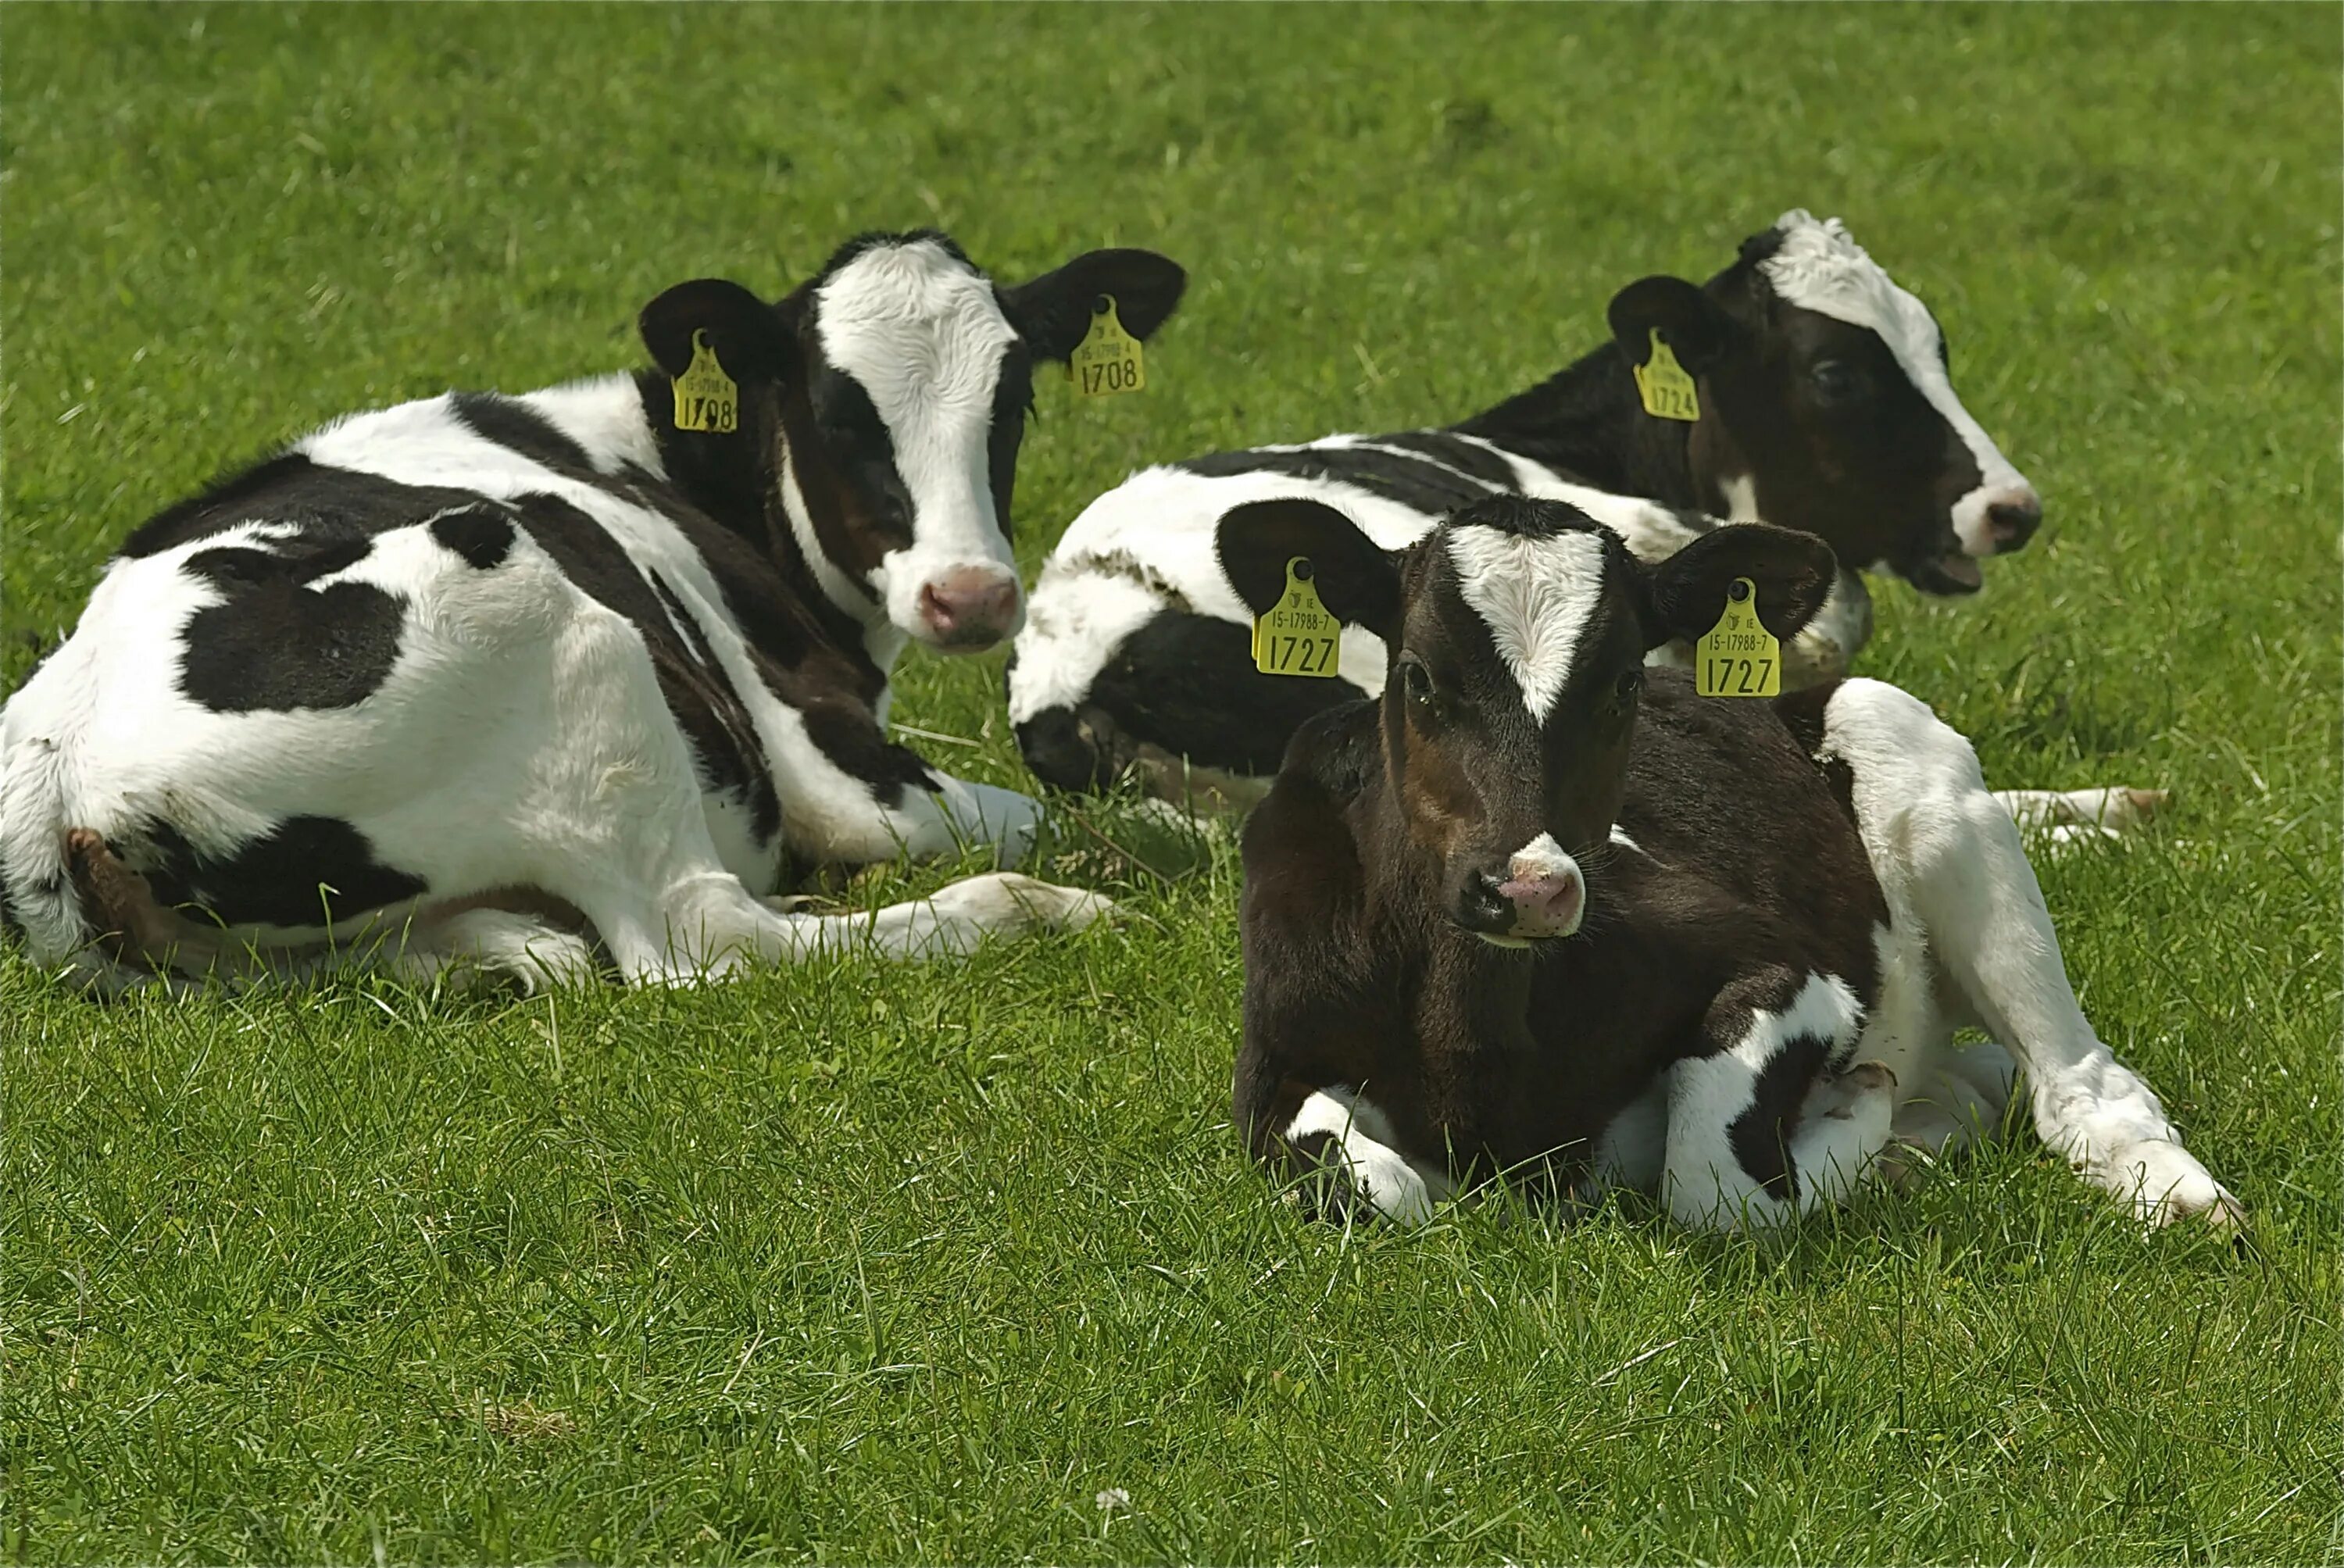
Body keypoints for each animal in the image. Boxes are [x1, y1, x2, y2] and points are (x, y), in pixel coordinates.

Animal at [4, 230, 1191, 989]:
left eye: (1015, 399)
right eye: (832, 408)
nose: (972, 594)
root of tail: (59, 763)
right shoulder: (838, 769)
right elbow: (1091, 811)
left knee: (549, 955)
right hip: (549, 629)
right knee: (709, 938)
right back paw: (1038, 908)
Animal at [1228, 495, 2231, 1228]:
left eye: (1623, 682)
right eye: (1420, 677)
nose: (1529, 888)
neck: (1477, 1039)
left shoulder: (1795, 971)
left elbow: (1712, 1182)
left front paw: (1850, 1113)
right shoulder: (1268, 1070)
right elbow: (1380, 1189)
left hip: (1920, 766)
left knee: (2078, 1082)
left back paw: (2174, 1192)